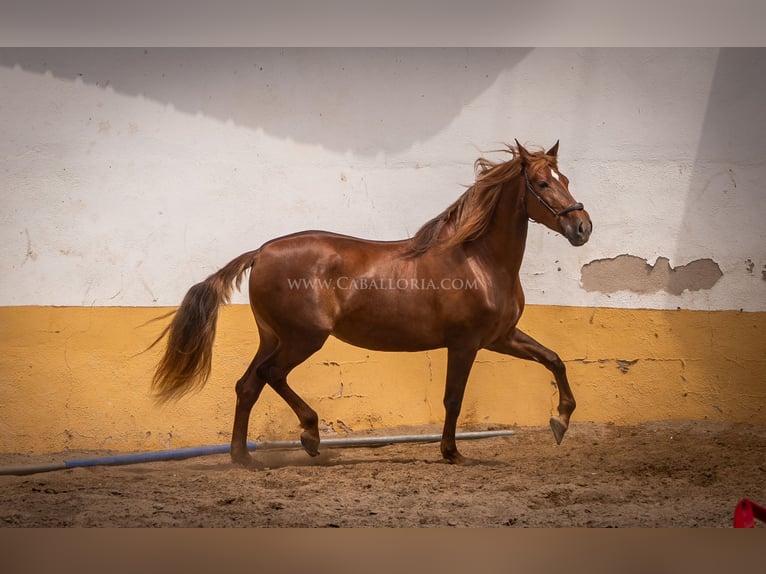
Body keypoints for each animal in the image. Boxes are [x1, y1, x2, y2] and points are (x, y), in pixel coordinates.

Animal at [152, 141, 592, 468]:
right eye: (542, 183)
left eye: (566, 179)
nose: (582, 227)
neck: (478, 260)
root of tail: (260, 252)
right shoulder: (465, 343)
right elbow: (453, 399)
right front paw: (451, 452)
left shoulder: (501, 337)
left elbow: (554, 360)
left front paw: (560, 421)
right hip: (303, 338)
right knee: (271, 375)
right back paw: (310, 436)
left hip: (273, 337)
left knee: (248, 385)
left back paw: (243, 457)